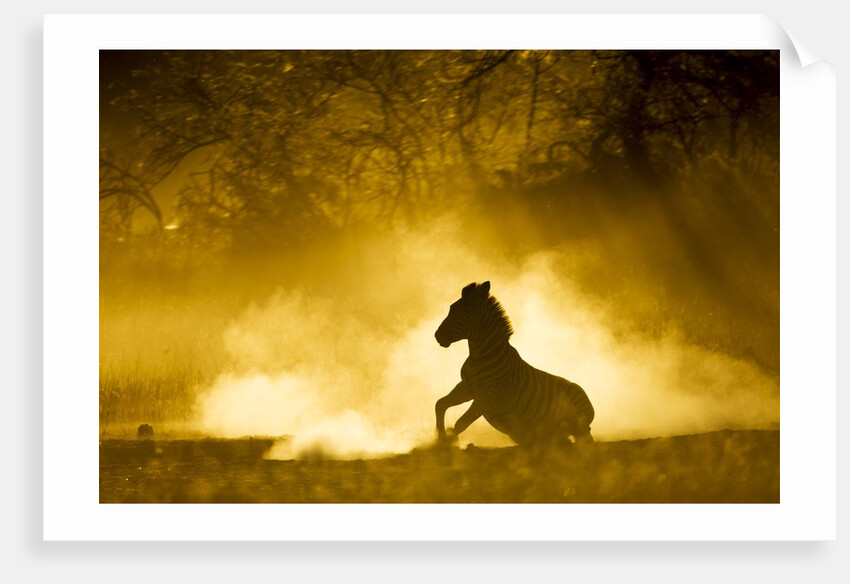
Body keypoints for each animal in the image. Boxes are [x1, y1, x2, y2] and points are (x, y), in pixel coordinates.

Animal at [434, 281, 594, 447]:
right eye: (452, 308)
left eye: (467, 310)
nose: (438, 336)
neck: (480, 355)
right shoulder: (467, 387)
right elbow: (440, 404)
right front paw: (441, 437)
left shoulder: (489, 394)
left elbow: (461, 422)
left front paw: (447, 443)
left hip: (578, 422)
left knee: (585, 440)